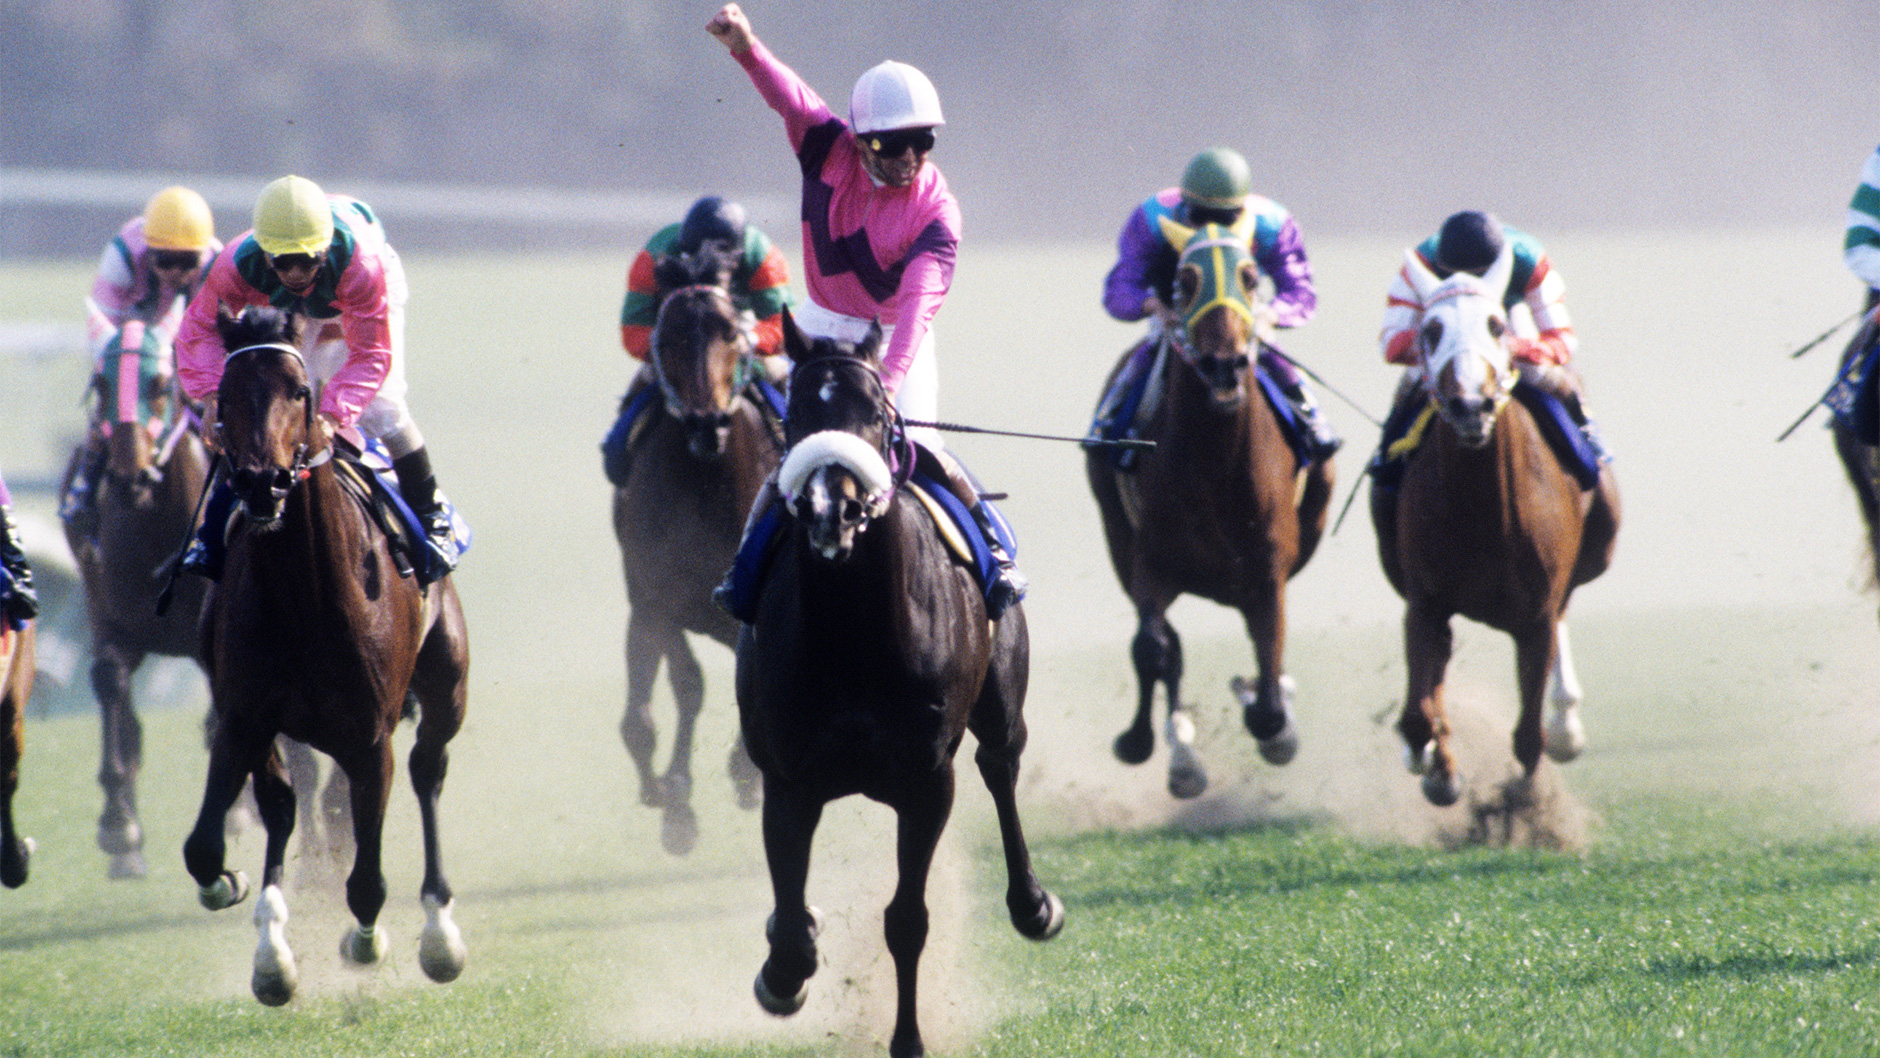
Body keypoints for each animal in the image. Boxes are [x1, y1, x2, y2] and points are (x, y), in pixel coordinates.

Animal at [181, 306, 469, 1005]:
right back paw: (273, 942)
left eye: (299, 390)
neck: (302, 595)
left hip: (446, 688)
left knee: (428, 771)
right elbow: (205, 846)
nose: (262, 482)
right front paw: (242, 906)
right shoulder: (244, 718)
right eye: (225, 397)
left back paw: (439, 932)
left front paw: (367, 942)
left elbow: (366, 881)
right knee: (285, 805)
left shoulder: (369, 737)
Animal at [613, 247, 773, 855]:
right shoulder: (654, 598)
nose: (707, 423)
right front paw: (673, 799)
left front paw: (742, 774)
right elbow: (676, 692)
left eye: (731, 331)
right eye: (670, 334)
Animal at [734, 312, 1064, 1058]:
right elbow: (791, 924)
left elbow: (907, 919)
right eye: (796, 413)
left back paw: (1034, 905)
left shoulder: (925, 780)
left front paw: (908, 1039)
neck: (857, 630)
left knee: (1001, 765)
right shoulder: (788, 780)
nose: (831, 508)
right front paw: (783, 972)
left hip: (1002, 704)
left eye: (879, 414)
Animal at [1086, 222, 1335, 799]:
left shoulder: (1267, 569)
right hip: (1116, 533)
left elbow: (1269, 671)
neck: (1214, 462)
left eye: (1250, 276)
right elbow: (1154, 647)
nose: (1225, 362)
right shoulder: (1150, 561)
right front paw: (1152, 747)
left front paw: (1274, 721)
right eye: (1184, 281)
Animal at [1370, 247, 1620, 806]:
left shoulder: (1537, 617)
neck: (1483, 510)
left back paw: (1566, 723)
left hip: (1598, 549)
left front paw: (1524, 799)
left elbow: (1528, 736)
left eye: (1496, 324)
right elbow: (1418, 712)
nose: (1470, 404)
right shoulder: (1425, 603)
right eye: (1431, 329)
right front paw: (1437, 770)